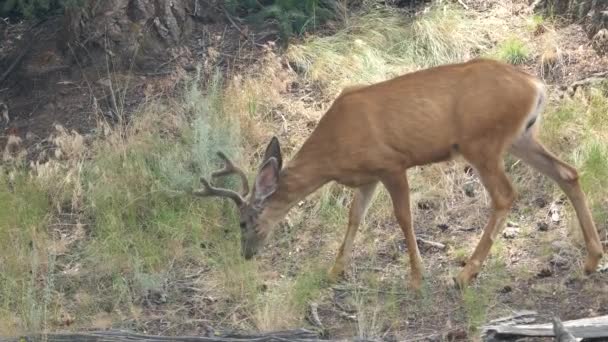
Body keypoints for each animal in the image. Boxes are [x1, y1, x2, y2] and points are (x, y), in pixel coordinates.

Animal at [192, 57, 604, 290]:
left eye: (243, 222)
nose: (246, 254)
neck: (334, 151)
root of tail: (536, 85)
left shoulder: (391, 164)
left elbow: (403, 218)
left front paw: (417, 278)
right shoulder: (367, 177)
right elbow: (354, 218)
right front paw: (334, 271)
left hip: (483, 143)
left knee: (505, 195)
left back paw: (464, 275)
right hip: (521, 137)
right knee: (568, 173)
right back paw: (592, 259)